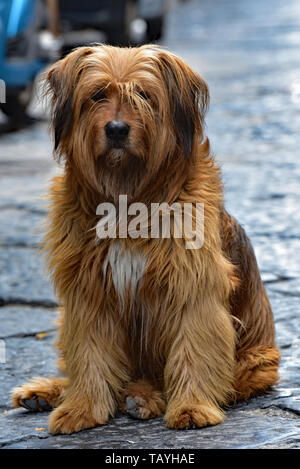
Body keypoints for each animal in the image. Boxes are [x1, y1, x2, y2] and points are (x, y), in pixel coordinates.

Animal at [11, 45, 278, 434]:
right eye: (98, 95)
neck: (128, 192)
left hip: (256, 363)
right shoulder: (89, 292)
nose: (117, 130)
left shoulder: (191, 287)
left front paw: (192, 407)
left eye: (144, 95)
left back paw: (143, 398)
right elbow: (89, 353)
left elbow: (194, 348)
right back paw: (48, 392)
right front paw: (82, 408)